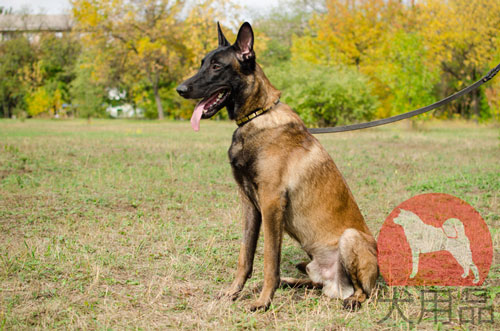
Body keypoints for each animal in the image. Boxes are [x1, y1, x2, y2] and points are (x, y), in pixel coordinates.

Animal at [177, 21, 378, 312]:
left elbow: (270, 259)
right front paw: (233, 292)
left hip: (351, 238)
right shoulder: (250, 204)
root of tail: (336, 285)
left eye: (216, 66)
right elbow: (245, 256)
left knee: (366, 291)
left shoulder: (271, 202)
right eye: (203, 63)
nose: (180, 89)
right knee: (313, 282)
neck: (257, 116)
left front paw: (263, 301)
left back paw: (352, 299)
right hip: (313, 267)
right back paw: (290, 282)